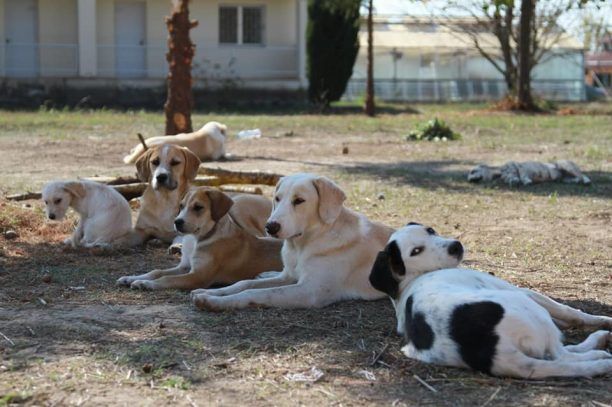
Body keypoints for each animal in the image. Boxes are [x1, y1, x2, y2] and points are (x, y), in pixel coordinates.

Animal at [117, 188, 282, 290]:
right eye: (181, 206)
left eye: (198, 207)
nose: (177, 222)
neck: (196, 240)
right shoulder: (184, 267)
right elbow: (157, 271)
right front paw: (131, 278)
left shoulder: (198, 277)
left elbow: (166, 279)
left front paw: (145, 283)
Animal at [189, 174, 394, 310]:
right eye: (277, 198)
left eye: (299, 200)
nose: (270, 226)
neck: (301, 247)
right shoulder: (287, 278)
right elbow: (243, 284)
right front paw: (209, 293)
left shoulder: (309, 292)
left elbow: (256, 293)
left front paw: (215, 302)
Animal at [368, 223, 612, 380]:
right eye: (416, 251)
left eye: (430, 231)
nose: (455, 246)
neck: (412, 279)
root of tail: (493, 350)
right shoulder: (524, 291)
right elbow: (571, 312)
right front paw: (602, 319)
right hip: (527, 306)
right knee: (562, 355)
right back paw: (598, 349)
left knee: (558, 360)